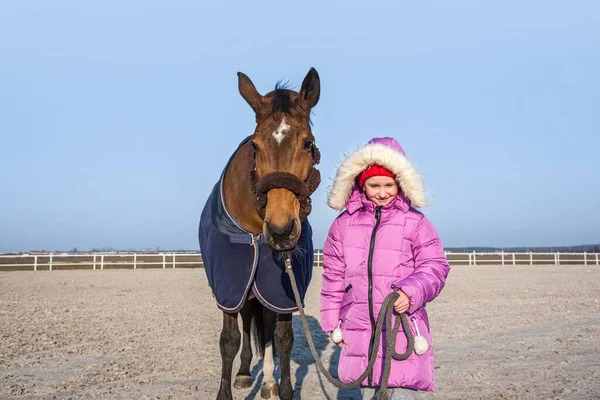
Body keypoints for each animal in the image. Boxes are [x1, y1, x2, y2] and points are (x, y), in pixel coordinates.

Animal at [198, 67, 322, 398]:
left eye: (308, 143)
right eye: (255, 146)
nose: (281, 230)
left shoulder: (283, 289)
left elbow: (282, 339)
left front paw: (284, 389)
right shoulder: (230, 284)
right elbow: (229, 340)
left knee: (265, 328)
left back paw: (266, 382)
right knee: (247, 322)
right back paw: (244, 373)